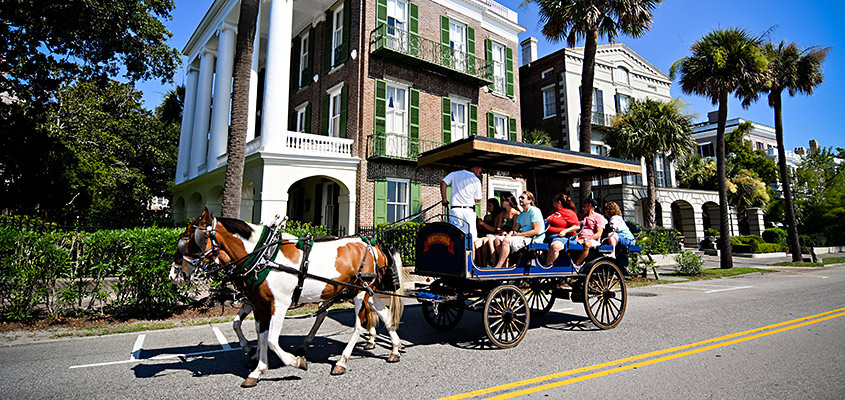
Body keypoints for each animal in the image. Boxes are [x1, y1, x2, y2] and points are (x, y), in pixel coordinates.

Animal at [170, 209, 404, 388]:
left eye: (189, 240)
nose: (175, 274)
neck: (264, 255)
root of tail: (373, 244)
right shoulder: (260, 305)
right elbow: (260, 335)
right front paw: (257, 368)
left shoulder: (279, 305)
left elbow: (272, 341)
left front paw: (296, 361)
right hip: (367, 291)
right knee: (384, 314)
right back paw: (394, 348)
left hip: (360, 291)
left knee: (357, 325)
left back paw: (342, 361)